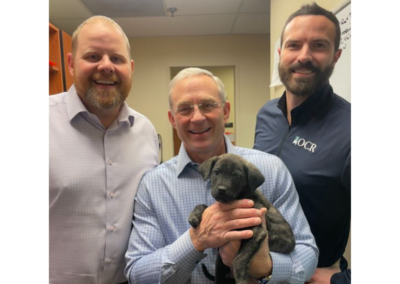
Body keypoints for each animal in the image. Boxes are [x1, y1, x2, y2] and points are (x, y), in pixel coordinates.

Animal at [189, 154, 296, 282]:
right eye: (216, 172)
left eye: (237, 176)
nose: (221, 190)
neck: (239, 197)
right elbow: (204, 206)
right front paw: (195, 214)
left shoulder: (257, 231)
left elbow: (238, 259)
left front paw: (241, 279)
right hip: (219, 263)